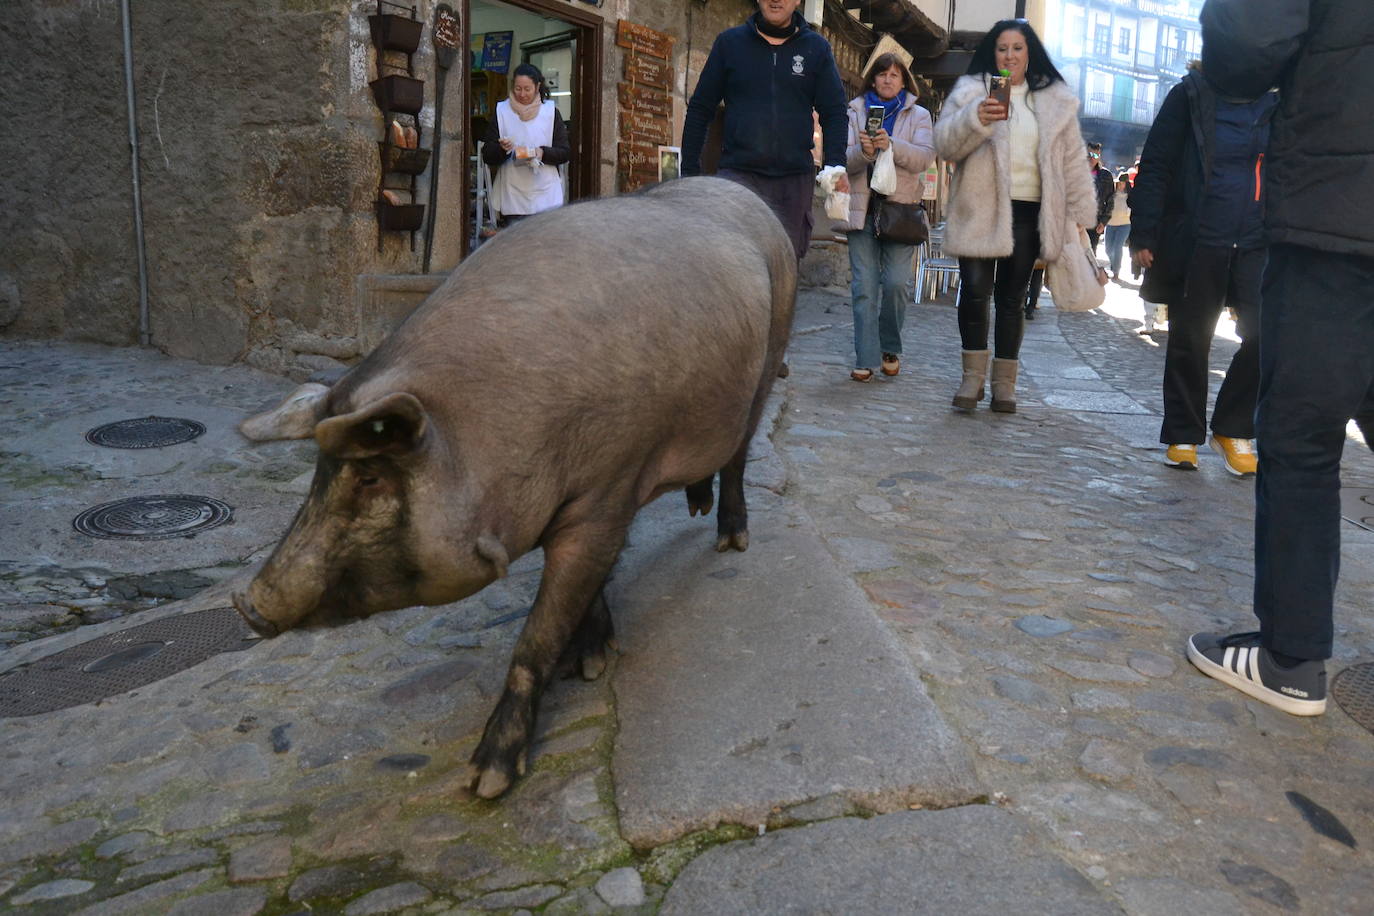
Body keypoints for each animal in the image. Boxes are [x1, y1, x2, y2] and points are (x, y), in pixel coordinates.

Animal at [233, 177, 796, 796]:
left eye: (371, 476)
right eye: (318, 471)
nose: (249, 604)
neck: (496, 429)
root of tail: (740, 190)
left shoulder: (607, 494)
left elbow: (536, 638)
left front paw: (485, 782)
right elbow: (586, 593)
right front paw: (591, 662)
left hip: (771, 356)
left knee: (739, 456)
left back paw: (731, 542)